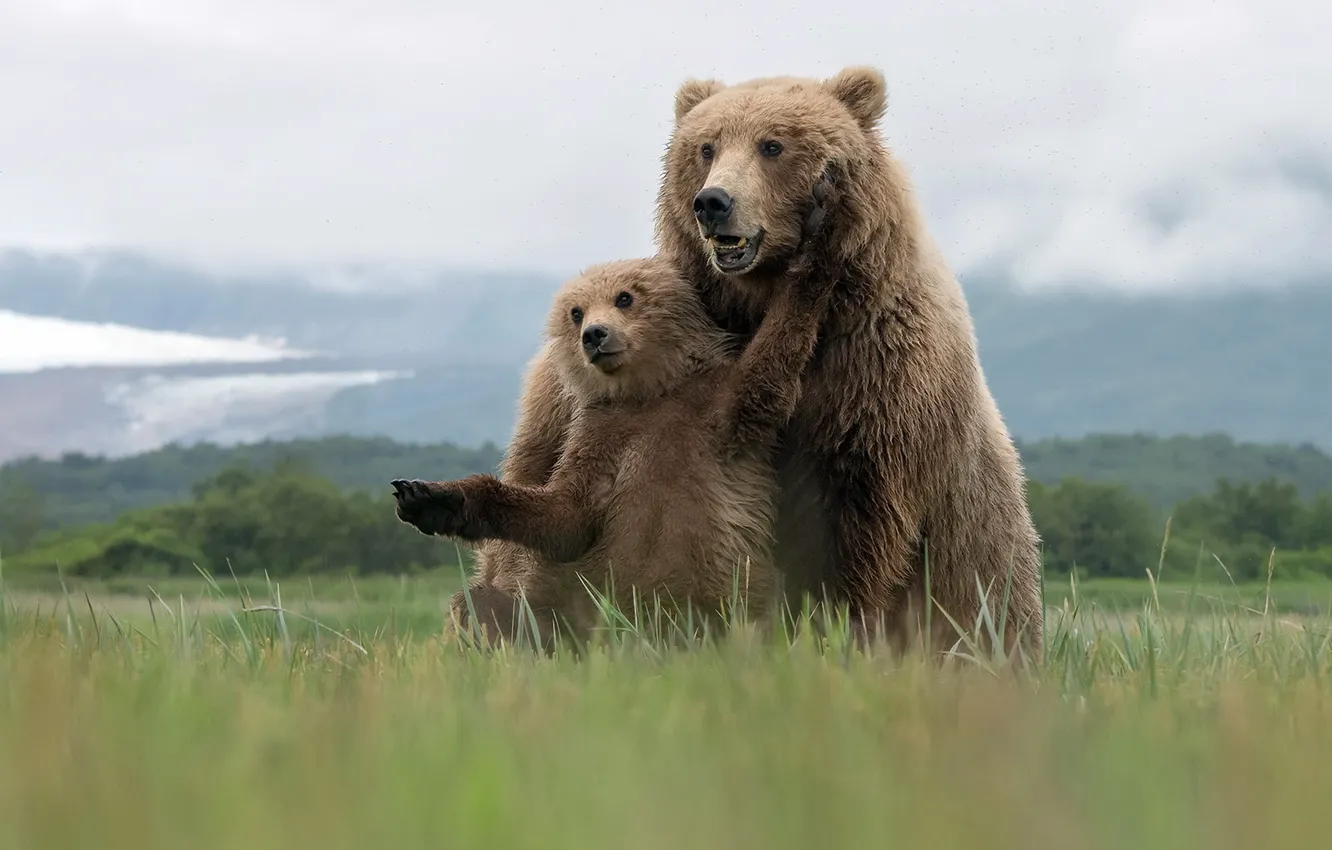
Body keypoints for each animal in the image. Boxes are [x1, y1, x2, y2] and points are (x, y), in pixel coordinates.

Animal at [392, 191, 839, 648]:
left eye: (625, 297)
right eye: (576, 311)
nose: (594, 334)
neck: (649, 393)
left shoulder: (719, 407)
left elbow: (772, 360)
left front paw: (813, 248)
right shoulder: (600, 435)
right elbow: (566, 515)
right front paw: (433, 499)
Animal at [474, 66, 1045, 663]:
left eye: (773, 145)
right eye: (706, 147)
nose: (712, 201)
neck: (755, 301)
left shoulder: (876, 378)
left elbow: (859, 524)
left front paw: (840, 626)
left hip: (984, 554)